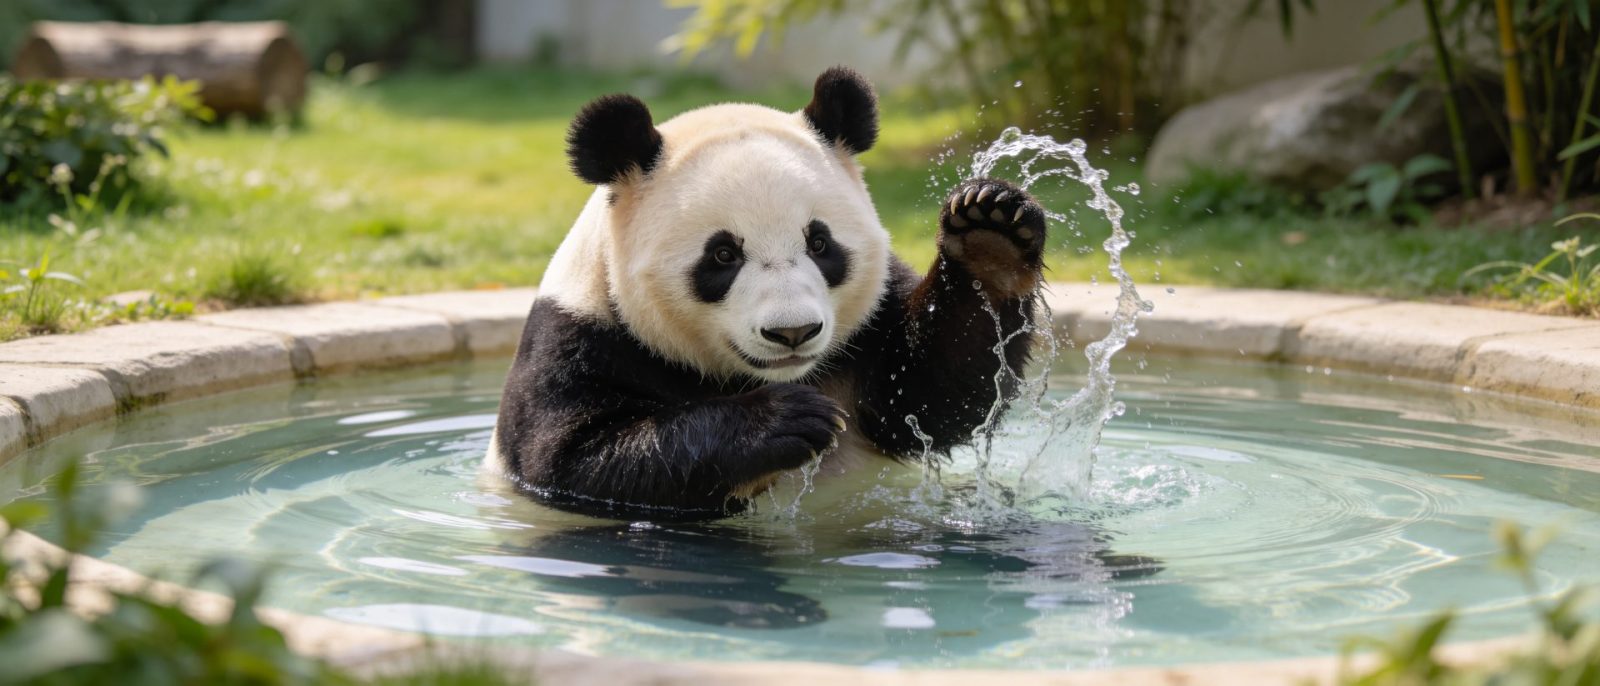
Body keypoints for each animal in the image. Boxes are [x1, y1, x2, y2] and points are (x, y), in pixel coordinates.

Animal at [486, 67, 1048, 521]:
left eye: (820, 243)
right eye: (722, 255)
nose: (792, 331)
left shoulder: (871, 327)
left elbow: (935, 394)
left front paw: (989, 235)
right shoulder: (580, 337)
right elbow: (579, 460)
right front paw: (785, 421)